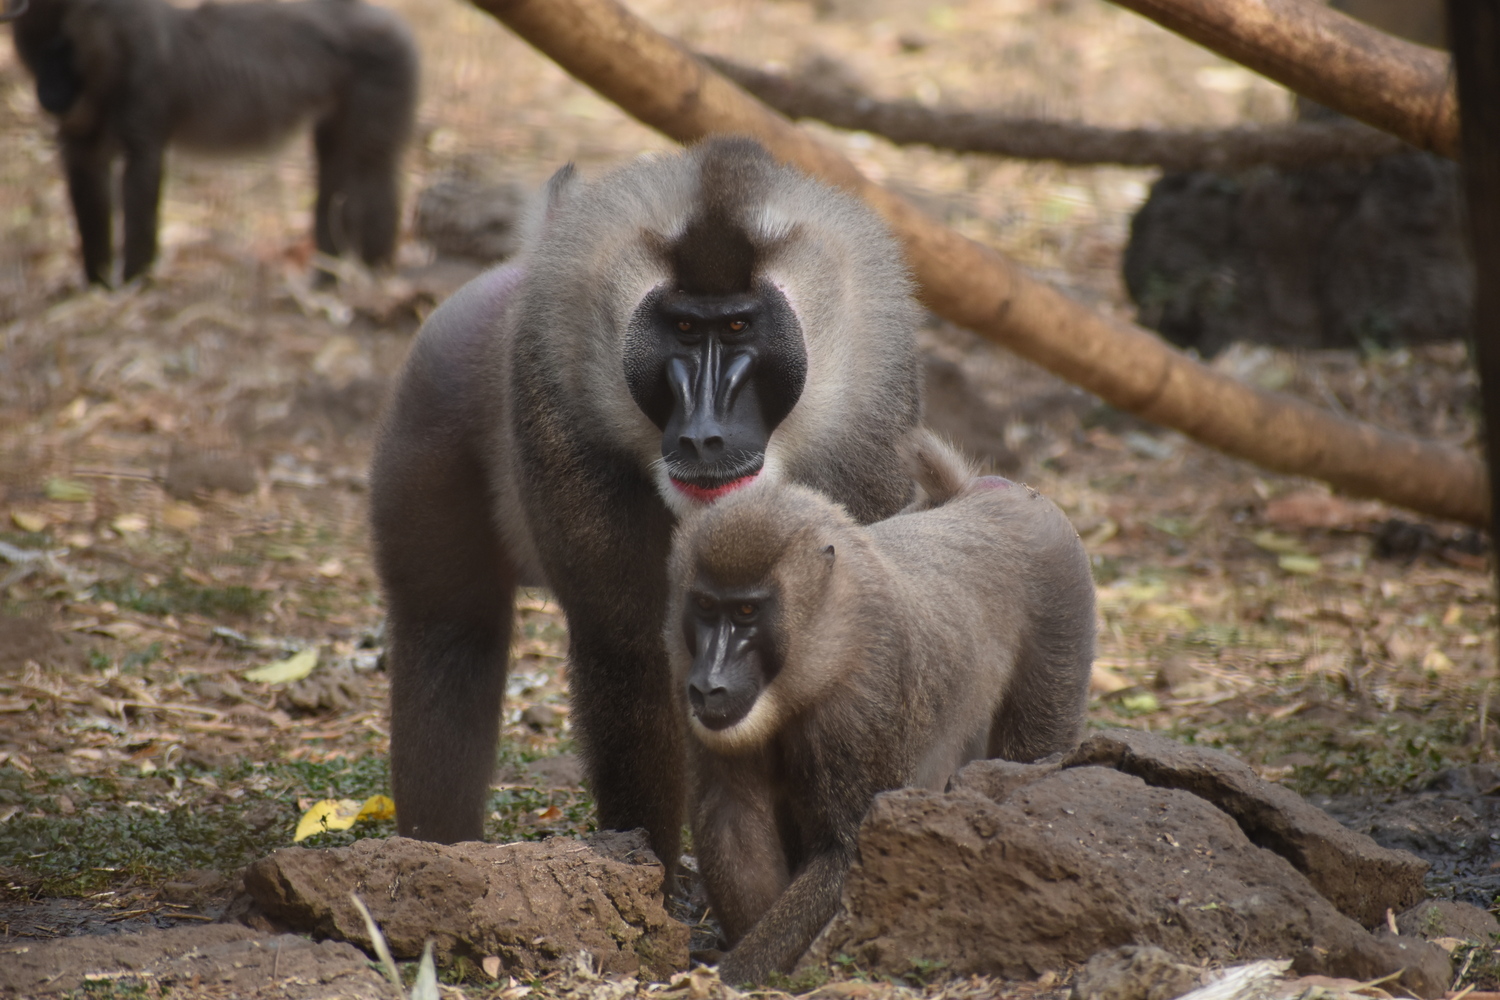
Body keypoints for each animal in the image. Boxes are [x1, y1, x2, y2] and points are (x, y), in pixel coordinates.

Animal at [1, 0, 417, 284]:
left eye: (62, 47)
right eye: (35, 48)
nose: (49, 94)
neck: (113, 50)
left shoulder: (143, 103)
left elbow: (140, 194)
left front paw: (136, 281)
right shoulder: (82, 141)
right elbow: (88, 189)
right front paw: (97, 285)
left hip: (381, 84)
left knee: (371, 172)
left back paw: (371, 276)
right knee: (336, 176)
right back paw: (328, 275)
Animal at [369, 137, 924, 869]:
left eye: (739, 326)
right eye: (684, 328)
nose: (703, 435)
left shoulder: (864, 446)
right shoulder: (568, 431)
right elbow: (632, 652)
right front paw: (653, 872)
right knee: (449, 635)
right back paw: (438, 849)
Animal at [666, 440, 1092, 983]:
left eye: (746, 612)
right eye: (704, 606)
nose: (709, 684)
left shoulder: (863, 709)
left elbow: (851, 850)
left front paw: (735, 974)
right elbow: (734, 823)